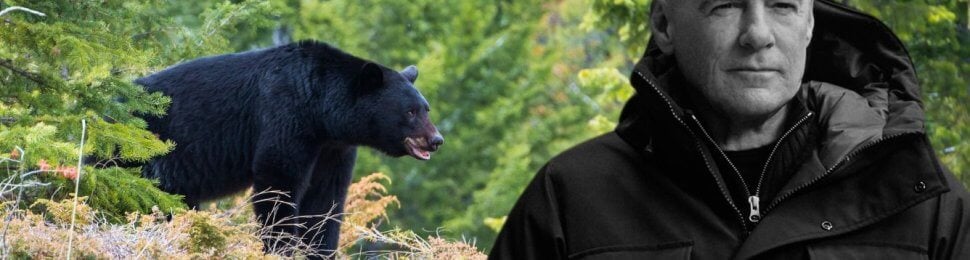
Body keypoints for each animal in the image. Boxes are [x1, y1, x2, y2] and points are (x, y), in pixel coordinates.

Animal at [135, 40, 442, 256]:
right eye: (411, 111)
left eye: (425, 108)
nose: (436, 140)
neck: (320, 111)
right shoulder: (286, 117)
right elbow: (278, 181)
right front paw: (280, 247)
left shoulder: (333, 149)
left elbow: (325, 199)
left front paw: (320, 249)